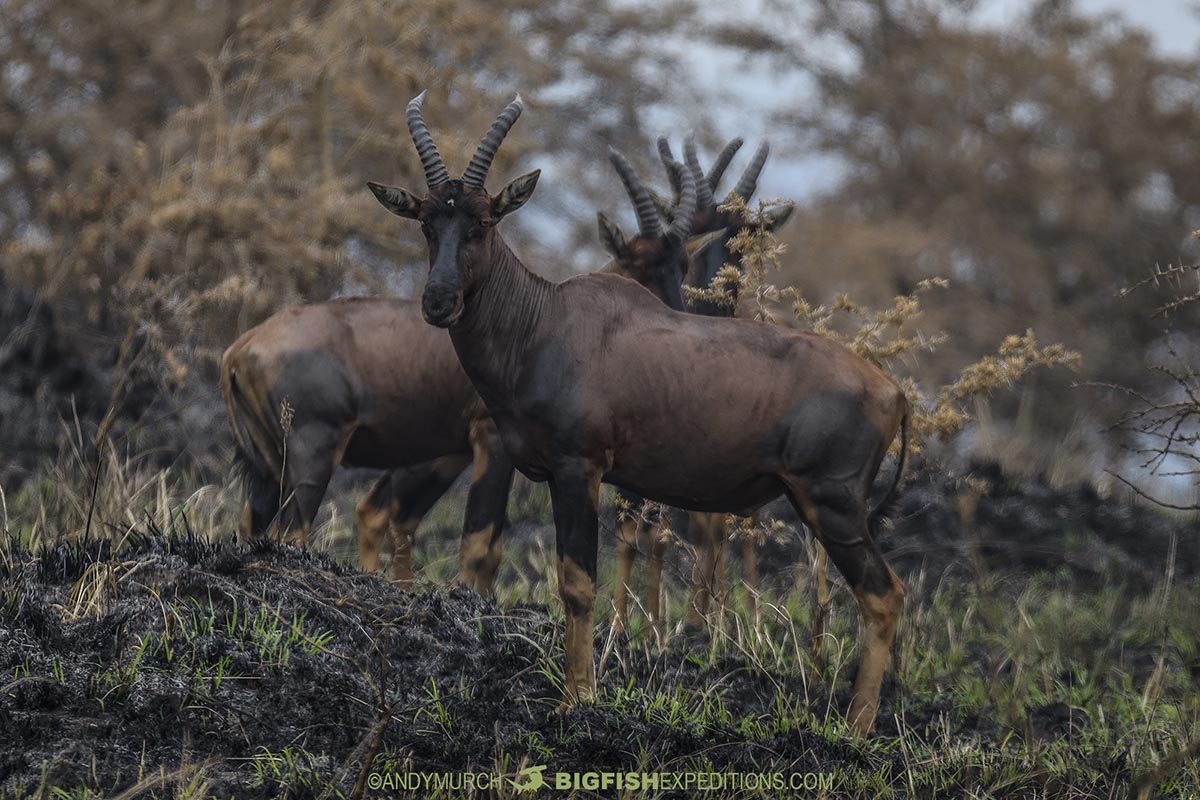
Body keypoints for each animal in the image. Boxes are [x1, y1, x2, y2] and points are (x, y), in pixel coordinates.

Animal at [364, 90, 907, 734]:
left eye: (484, 221)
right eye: (427, 222)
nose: (439, 302)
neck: (546, 321)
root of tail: (891, 390)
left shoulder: (580, 468)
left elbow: (576, 583)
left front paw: (578, 700)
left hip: (834, 505)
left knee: (884, 596)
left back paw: (854, 731)